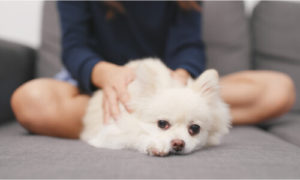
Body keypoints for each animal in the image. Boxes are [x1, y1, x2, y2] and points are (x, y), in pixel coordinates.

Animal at [80, 58, 232, 156]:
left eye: (194, 128)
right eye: (162, 124)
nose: (178, 143)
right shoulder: (108, 134)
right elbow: (135, 137)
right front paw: (154, 145)